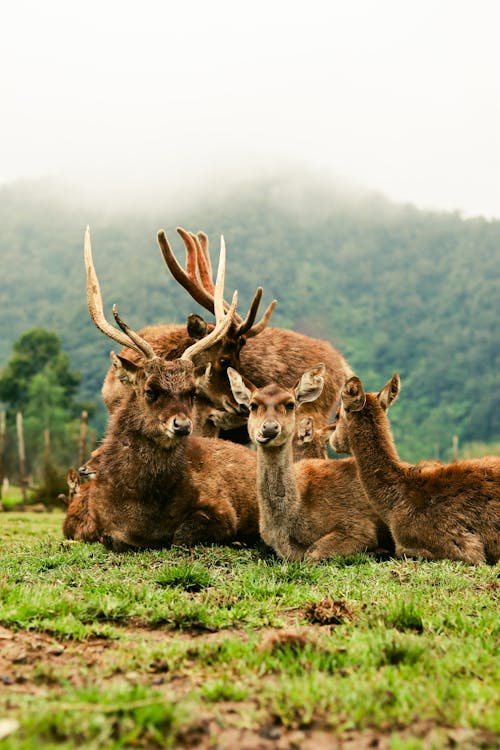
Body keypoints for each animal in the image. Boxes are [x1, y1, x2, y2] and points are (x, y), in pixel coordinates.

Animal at [63, 229, 260, 552]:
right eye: (150, 390)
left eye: (192, 392)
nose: (182, 425)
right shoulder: (104, 526)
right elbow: (113, 539)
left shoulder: (221, 507)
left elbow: (182, 535)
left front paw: (238, 540)